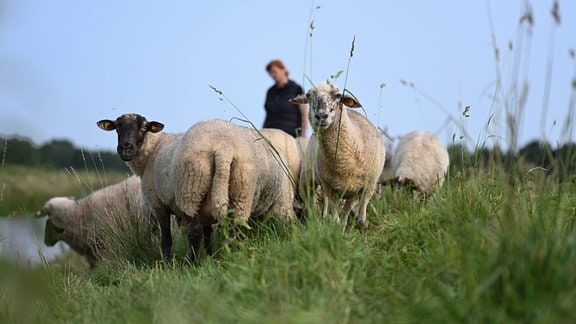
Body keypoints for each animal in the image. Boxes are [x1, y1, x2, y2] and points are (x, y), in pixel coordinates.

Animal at [97, 114, 294, 264]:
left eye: (144, 127)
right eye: (117, 128)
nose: (126, 148)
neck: (152, 151)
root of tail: (224, 148)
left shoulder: (158, 204)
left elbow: (166, 239)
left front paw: (166, 264)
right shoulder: (206, 208)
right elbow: (208, 234)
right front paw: (210, 256)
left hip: (191, 191)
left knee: (195, 234)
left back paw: (190, 263)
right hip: (240, 191)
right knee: (234, 231)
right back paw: (232, 258)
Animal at [290, 81, 384, 229]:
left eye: (338, 95)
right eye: (309, 95)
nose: (321, 116)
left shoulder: (369, 185)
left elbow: (361, 219)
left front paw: (358, 226)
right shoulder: (330, 188)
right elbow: (335, 218)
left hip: (352, 192)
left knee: (346, 210)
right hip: (308, 179)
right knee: (310, 204)